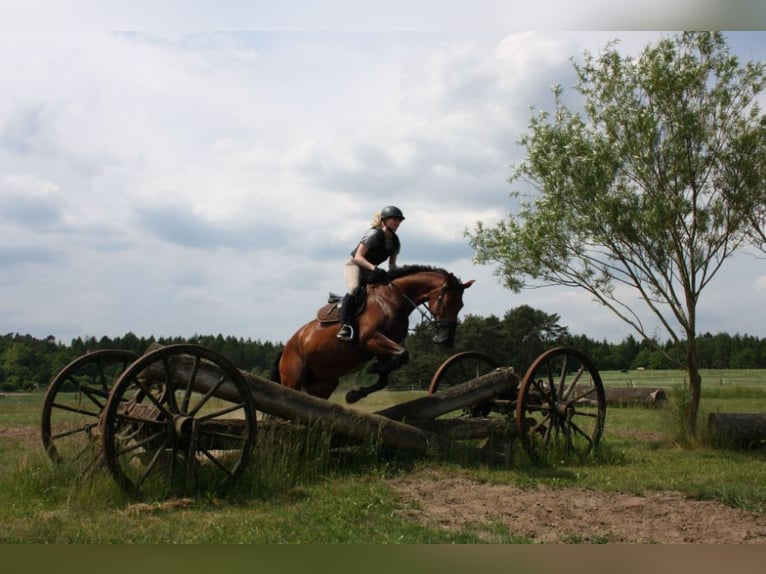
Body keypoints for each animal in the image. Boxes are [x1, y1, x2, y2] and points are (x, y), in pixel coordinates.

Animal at [270, 266, 474, 404]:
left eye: (461, 305)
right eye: (444, 301)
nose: (446, 339)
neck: (393, 299)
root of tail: (287, 347)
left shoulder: (384, 347)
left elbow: (388, 374)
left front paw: (355, 393)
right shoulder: (370, 339)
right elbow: (402, 355)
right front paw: (372, 369)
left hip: (323, 384)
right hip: (292, 377)